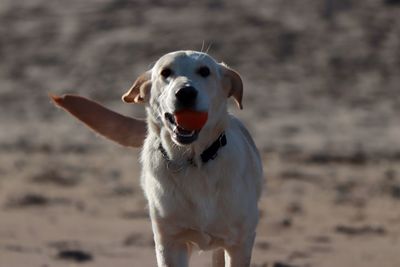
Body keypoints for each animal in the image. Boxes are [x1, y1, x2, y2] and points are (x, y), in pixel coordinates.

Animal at [50, 50, 262, 267]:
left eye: (205, 71)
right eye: (165, 72)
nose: (185, 92)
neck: (193, 162)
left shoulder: (240, 243)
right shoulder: (170, 243)